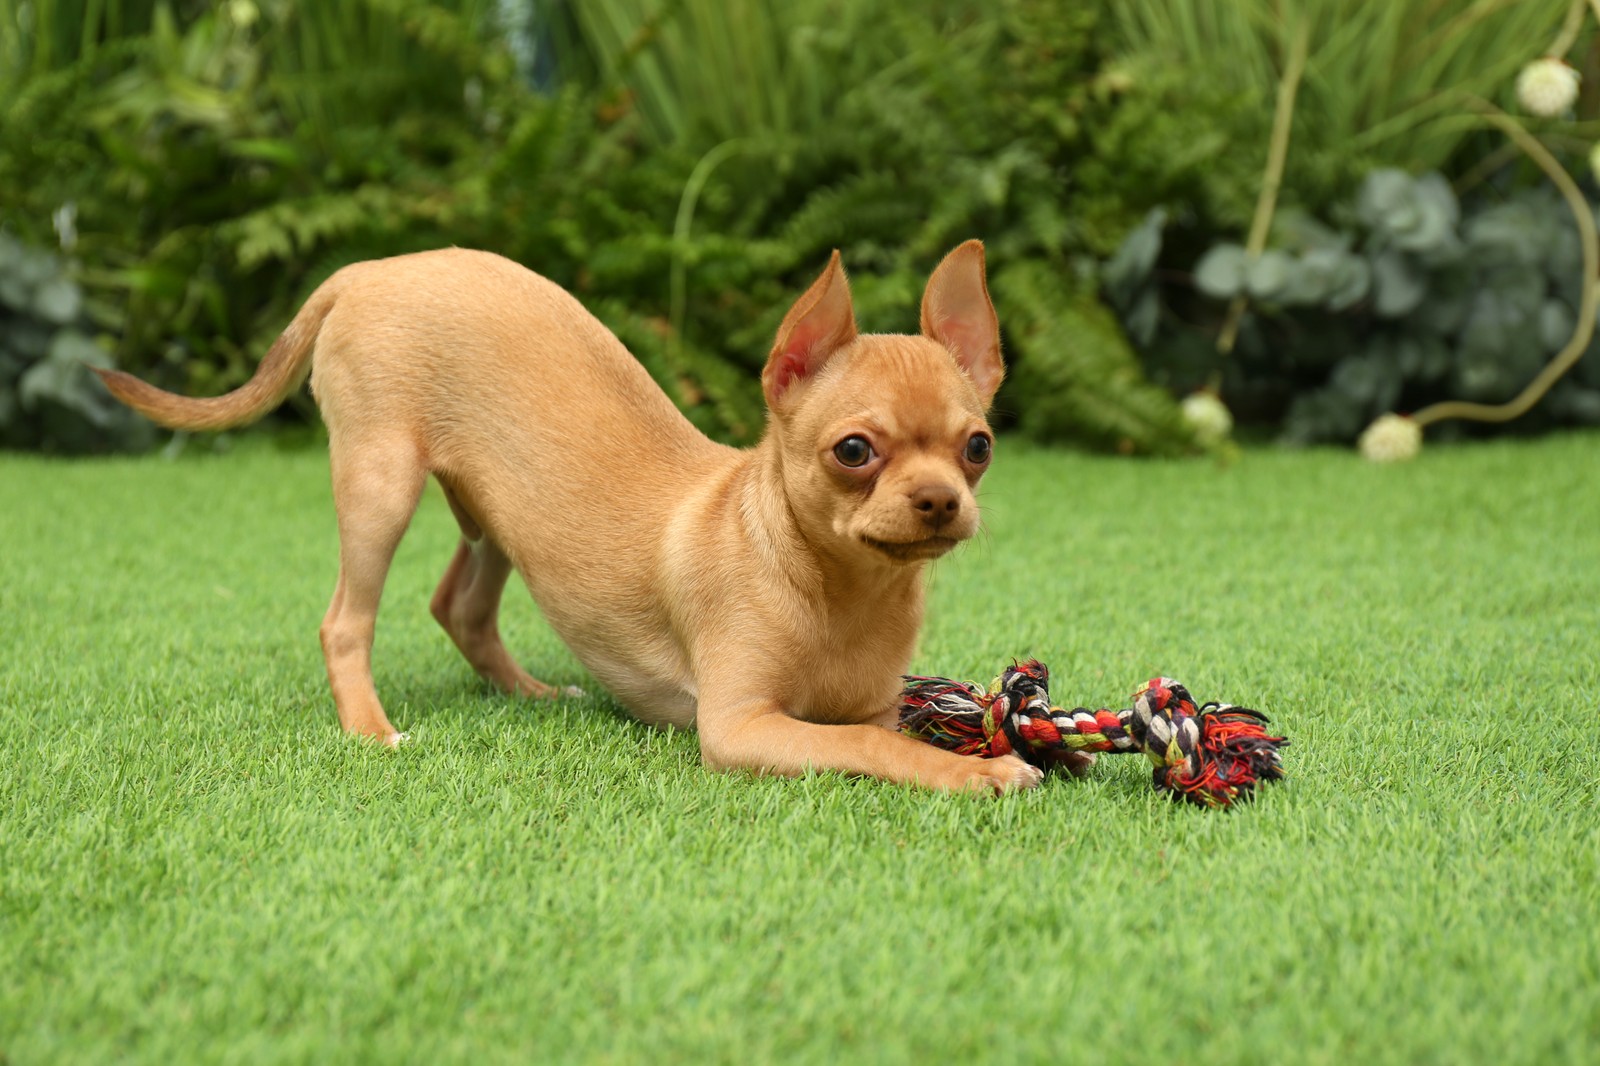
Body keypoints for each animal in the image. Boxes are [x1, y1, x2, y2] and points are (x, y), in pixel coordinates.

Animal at [103, 240, 1049, 787]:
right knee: (346, 621)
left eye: (978, 446)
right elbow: (875, 749)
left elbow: (885, 733)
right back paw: (371, 728)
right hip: (380, 484)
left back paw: (527, 691)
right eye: (854, 452)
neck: (837, 588)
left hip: (496, 510)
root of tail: (367, 270)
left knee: (459, 604)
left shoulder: (873, 704)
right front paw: (980, 773)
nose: (942, 499)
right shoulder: (740, 728)